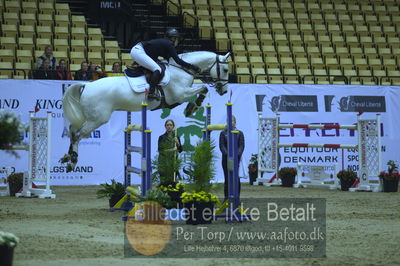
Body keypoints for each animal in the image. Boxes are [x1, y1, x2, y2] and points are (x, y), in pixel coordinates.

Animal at [61, 51, 231, 171]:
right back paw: (73, 162)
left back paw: (67, 157)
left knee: (71, 130)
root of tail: (86, 85)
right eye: (225, 69)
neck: (182, 70)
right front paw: (193, 107)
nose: (223, 90)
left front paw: (191, 107)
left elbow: (200, 90)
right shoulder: (180, 94)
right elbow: (202, 88)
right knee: (77, 135)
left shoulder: (176, 98)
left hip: (87, 117)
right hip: (97, 119)